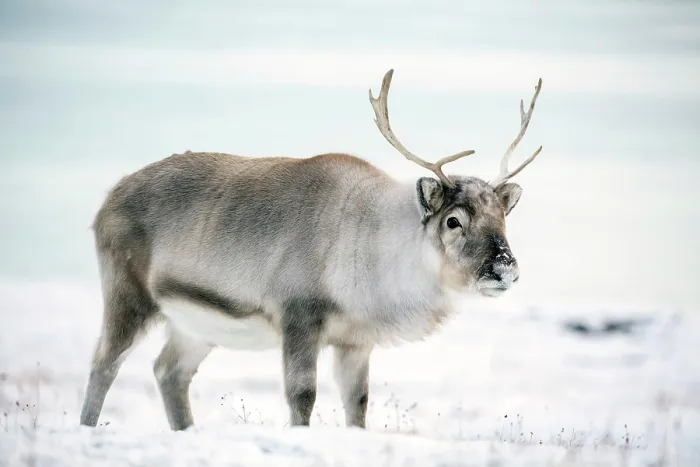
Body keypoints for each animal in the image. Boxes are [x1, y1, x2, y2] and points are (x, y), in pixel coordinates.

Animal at [79, 69, 544, 431]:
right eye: (453, 220)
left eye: (502, 217)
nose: (504, 269)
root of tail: (106, 201)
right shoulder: (299, 316)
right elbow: (302, 396)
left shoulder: (356, 338)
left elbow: (358, 403)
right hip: (127, 292)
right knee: (104, 363)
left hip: (195, 324)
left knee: (168, 372)